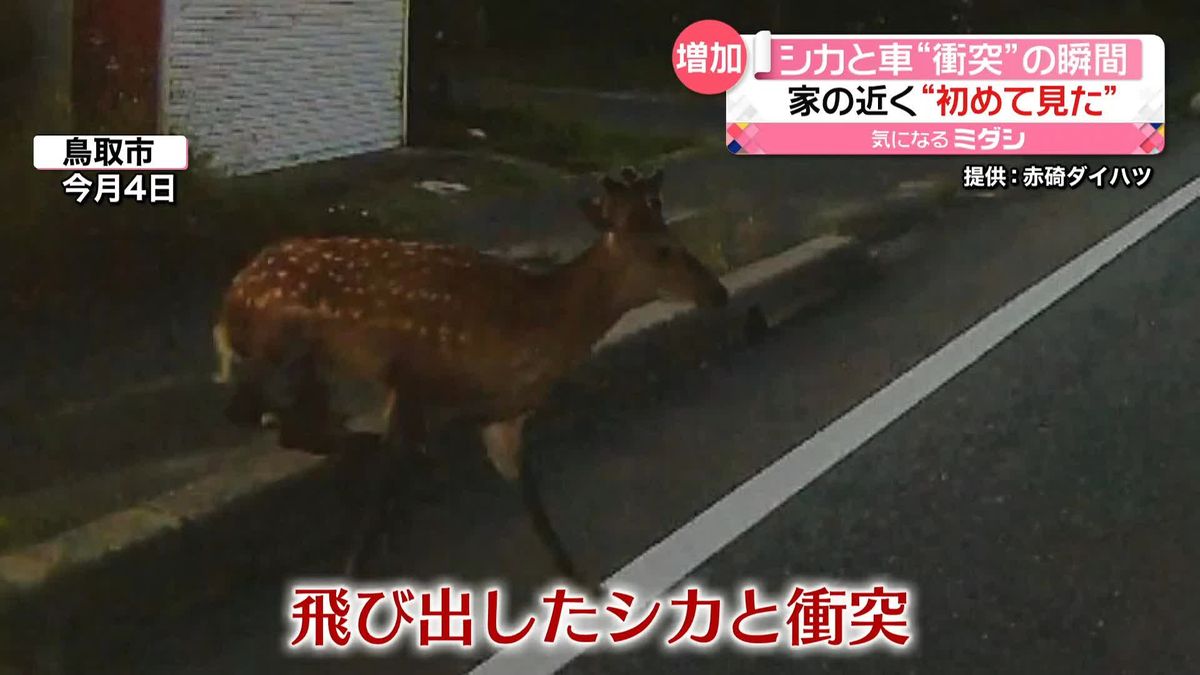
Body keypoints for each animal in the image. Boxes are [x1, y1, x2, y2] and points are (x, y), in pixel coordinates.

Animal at [211, 165, 724, 586]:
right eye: (664, 250)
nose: (717, 292)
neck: (534, 329)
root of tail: (231, 299)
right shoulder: (413, 380)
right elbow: (384, 491)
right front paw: (353, 572)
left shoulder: (505, 417)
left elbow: (535, 506)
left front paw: (580, 582)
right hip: (291, 345)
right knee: (259, 414)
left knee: (283, 419)